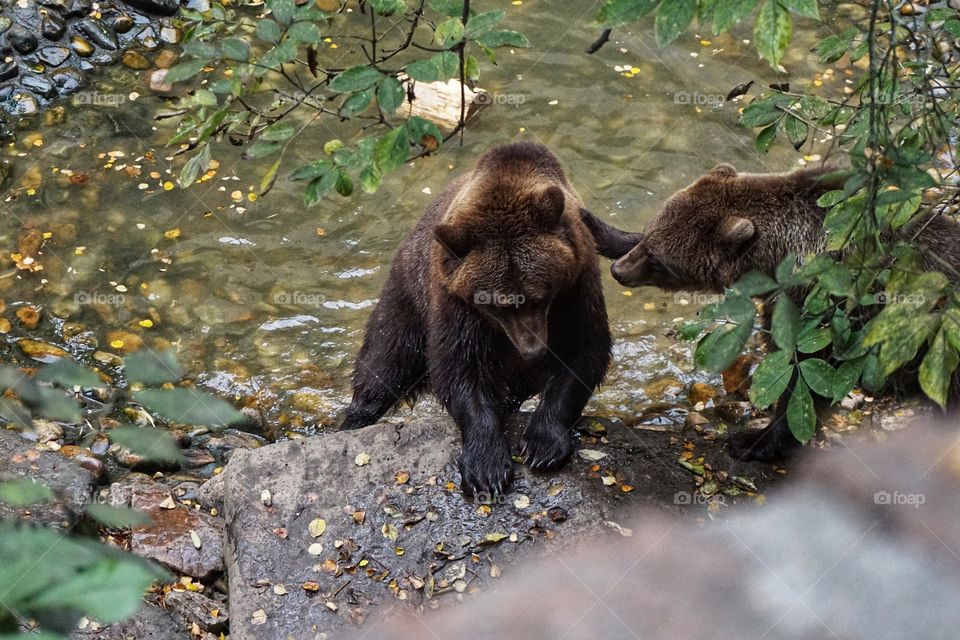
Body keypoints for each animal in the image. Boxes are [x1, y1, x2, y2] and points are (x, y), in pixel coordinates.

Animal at [342, 142, 612, 498]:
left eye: (541, 296)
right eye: (497, 305)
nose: (533, 350)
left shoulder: (576, 287)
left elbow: (582, 352)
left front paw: (542, 445)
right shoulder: (456, 302)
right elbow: (461, 369)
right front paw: (487, 467)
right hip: (408, 293)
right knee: (386, 360)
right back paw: (354, 419)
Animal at [576, 165, 960, 462]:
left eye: (658, 259)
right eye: (649, 236)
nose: (619, 272)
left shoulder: (821, 306)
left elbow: (801, 375)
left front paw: (754, 441)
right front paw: (594, 224)